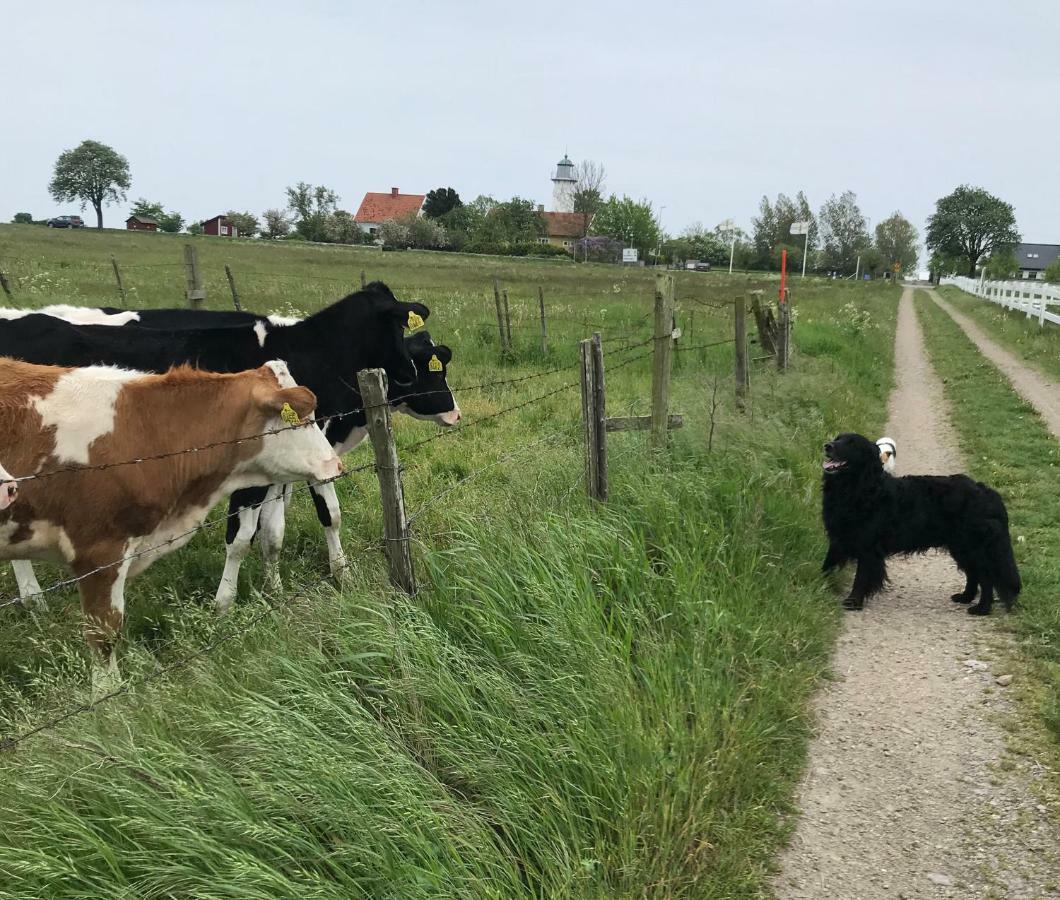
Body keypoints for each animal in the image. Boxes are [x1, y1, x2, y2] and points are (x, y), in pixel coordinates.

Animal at [0, 356, 341, 682]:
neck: (145, 429)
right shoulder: (98, 553)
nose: (336, 464)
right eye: (301, 421)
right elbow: (105, 638)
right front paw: (109, 697)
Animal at [818, 432, 1017, 614]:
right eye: (837, 438)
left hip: (972, 546)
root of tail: (987, 491)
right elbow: (827, 565)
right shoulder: (839, 538)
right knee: (974, 573)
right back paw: (965, 597)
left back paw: (982, 608)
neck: (858, 489)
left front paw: (853, 601)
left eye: (851, 443)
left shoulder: (869, 547)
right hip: (960, 547)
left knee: (986, 577)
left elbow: (861, 578)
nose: (827, 445)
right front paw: (817, 587)